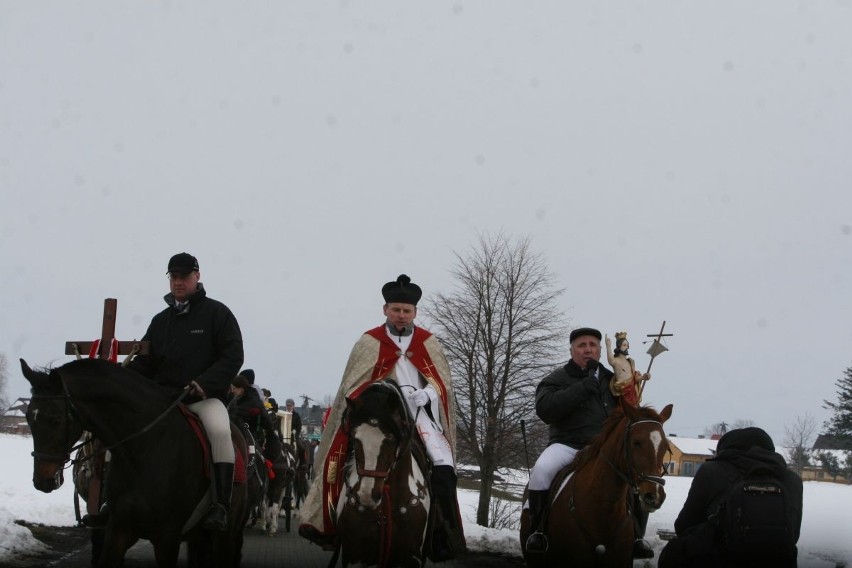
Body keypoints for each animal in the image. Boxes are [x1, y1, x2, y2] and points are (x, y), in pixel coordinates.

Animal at [20, 360, 250, 568]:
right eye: (29, 418)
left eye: (55, 419)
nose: (43, 481)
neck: (145, 450)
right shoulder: (119, 529)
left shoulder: (168, 537)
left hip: (224, 537)